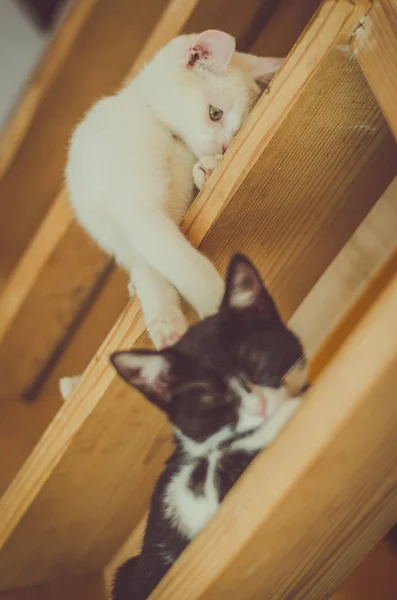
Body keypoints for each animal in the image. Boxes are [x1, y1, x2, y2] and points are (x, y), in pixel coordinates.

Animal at [65, 29, 282, 346]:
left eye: (238, 129)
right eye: (214, 113)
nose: (225, 147)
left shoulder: (160, 211)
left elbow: (164, 257)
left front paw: (209, 167)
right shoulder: (136, 210)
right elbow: (176, 264)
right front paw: (204, 311)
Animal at [110, 254, 308, 600]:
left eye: (257, 361)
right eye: (209, 398)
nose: (259, 407)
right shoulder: (178, 505)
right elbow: (206, 480)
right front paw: (283, 414)